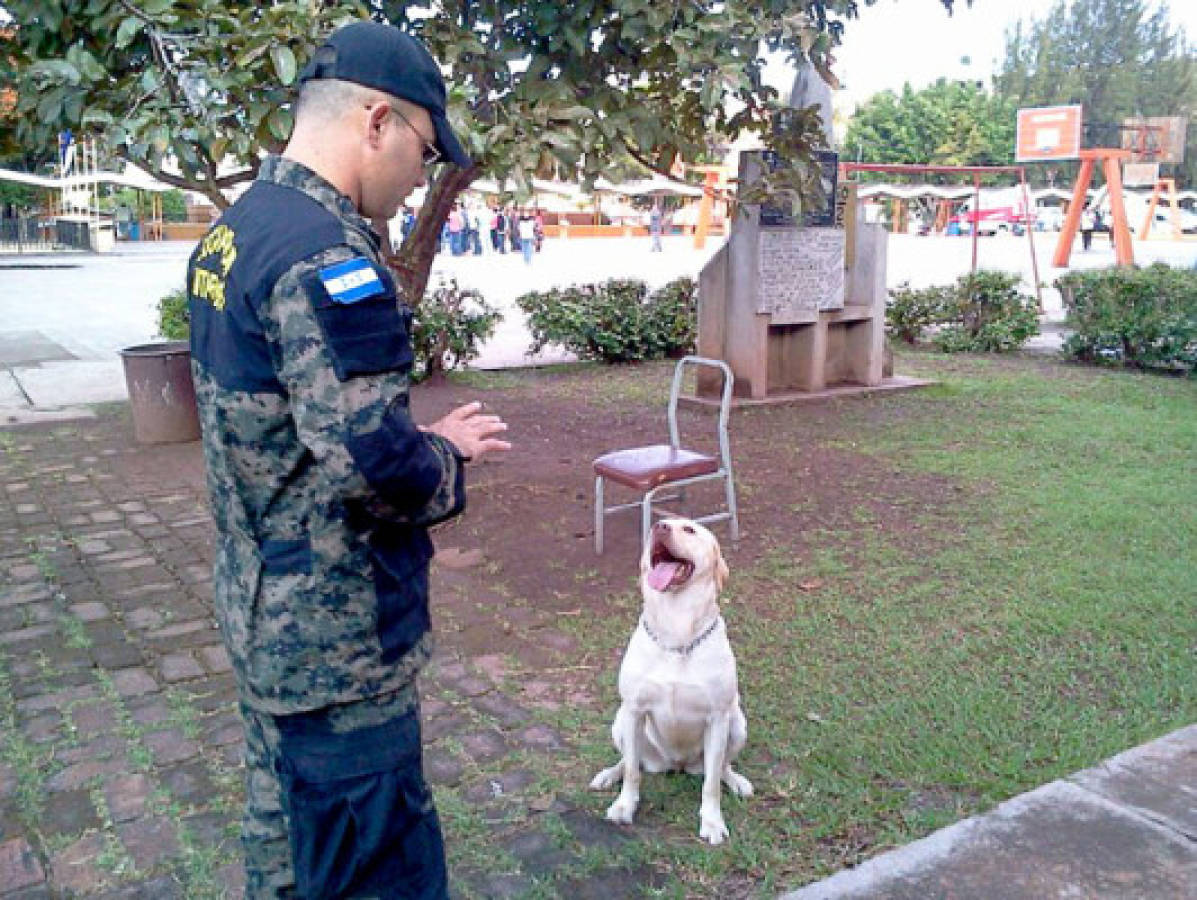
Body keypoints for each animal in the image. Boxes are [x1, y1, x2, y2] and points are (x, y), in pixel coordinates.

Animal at [586, 517, 746, 847]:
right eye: (657, 526)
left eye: (689, 529)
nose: (658, 526)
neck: (678, 633)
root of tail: (677, 764)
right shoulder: (634, 710)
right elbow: (632, 772)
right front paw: (624, 805)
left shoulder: (718, 718)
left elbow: (711, 783)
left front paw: (712, 821)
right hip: (620, 722)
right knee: (629, 760)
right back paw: (609, 774)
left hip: (738, 725)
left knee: (721, 766)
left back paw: (735, 780)